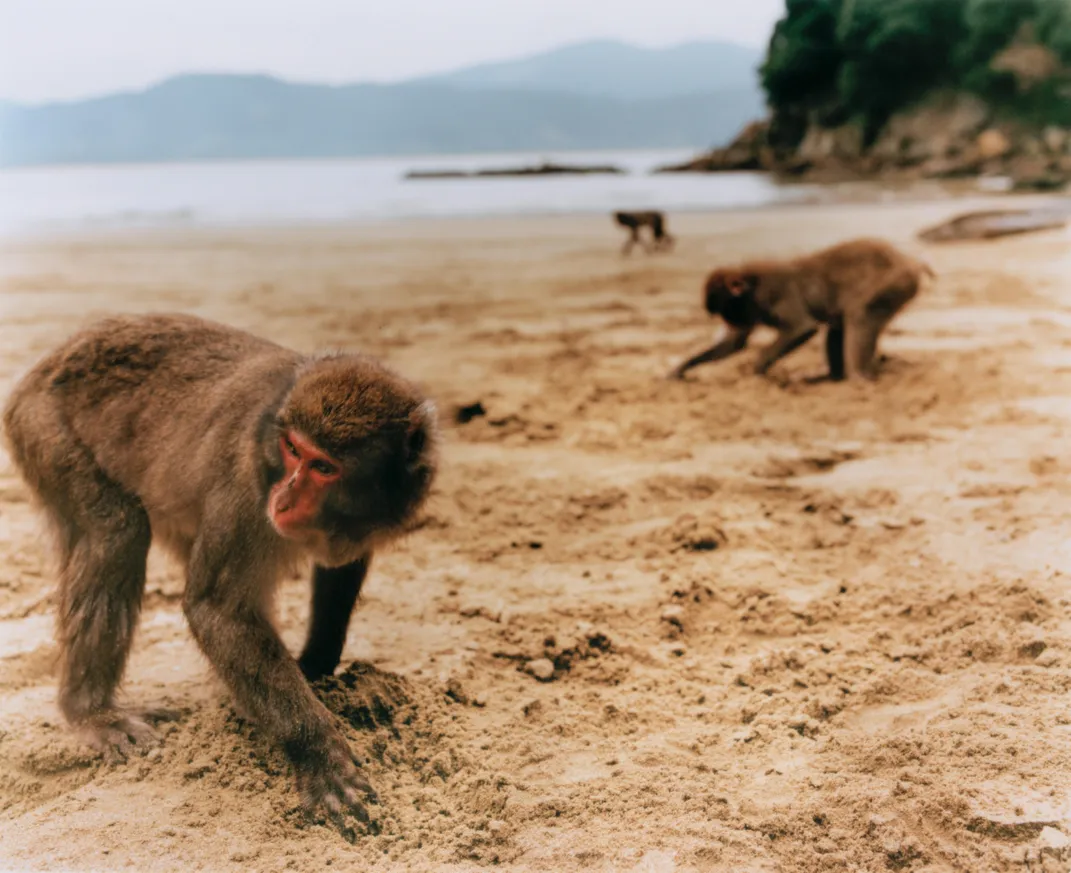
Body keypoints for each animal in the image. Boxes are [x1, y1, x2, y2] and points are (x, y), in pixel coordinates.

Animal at [3, 314, 439, 826]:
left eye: (324, 467)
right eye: (293, 450)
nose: (284, 498)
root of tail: (54, 356)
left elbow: (342, 566)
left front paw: (315, 669)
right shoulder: (246, 490)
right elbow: (217, 611)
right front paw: (319, 754)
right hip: (41, 423)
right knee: (118, 530)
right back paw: (90, 712)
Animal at [668, 237, 929, 381]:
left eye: (725, 311)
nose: (729, 322)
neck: (751, 286)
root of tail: (908, 261)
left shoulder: (774, 291)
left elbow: (802, 328)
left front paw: (757, 371)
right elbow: (734, 343)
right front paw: (681, 368)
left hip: (897, 282)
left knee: (859, 317)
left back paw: (859, 377)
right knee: (839, 326)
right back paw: (833, 378)